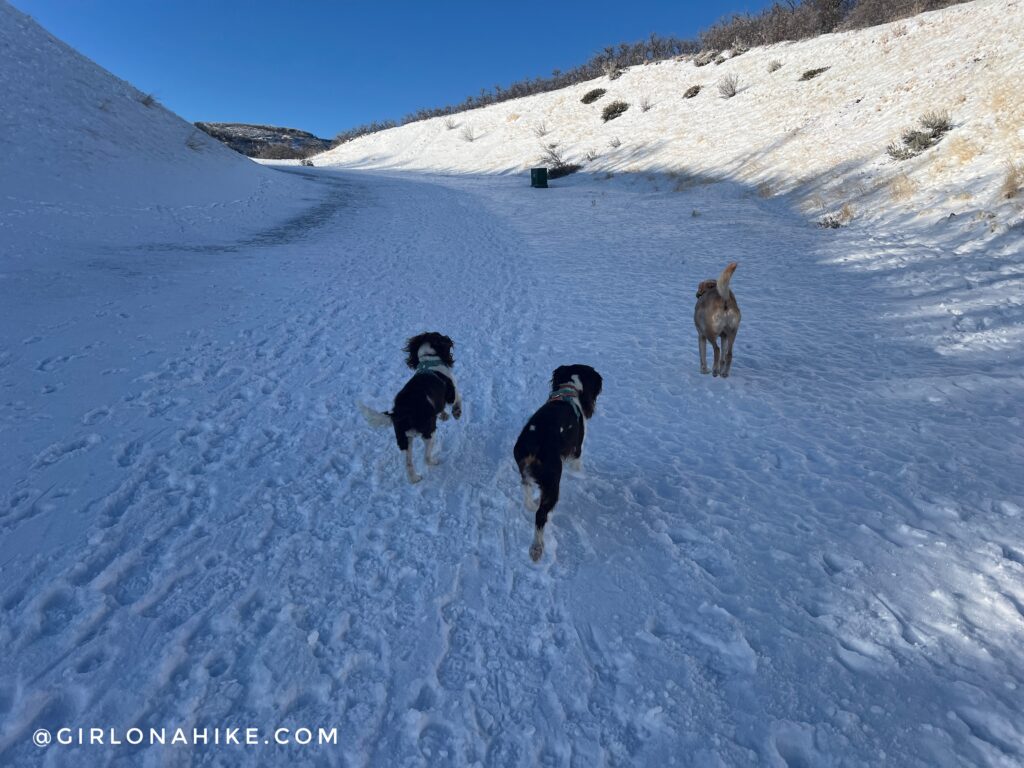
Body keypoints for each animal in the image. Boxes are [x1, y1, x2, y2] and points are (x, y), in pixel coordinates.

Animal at [356, 331, 460, 487]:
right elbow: (457, 400)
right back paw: (434, 462)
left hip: (404, 440)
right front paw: (456, 413)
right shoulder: (452, 390)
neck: (428, 360)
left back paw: (414, 479)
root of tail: (401, 412)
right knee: (425, 457)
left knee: (408, 463)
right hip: (429, 433)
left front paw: (444, 415)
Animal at [512, 364, 598, 561]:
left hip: (525, 472)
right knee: (541, 515)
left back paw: (532, 503)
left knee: (527, 494)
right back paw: (536, 548)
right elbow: (578, 466)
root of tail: (533, 444)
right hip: (553, 482)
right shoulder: (576, 450)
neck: (569, 391)